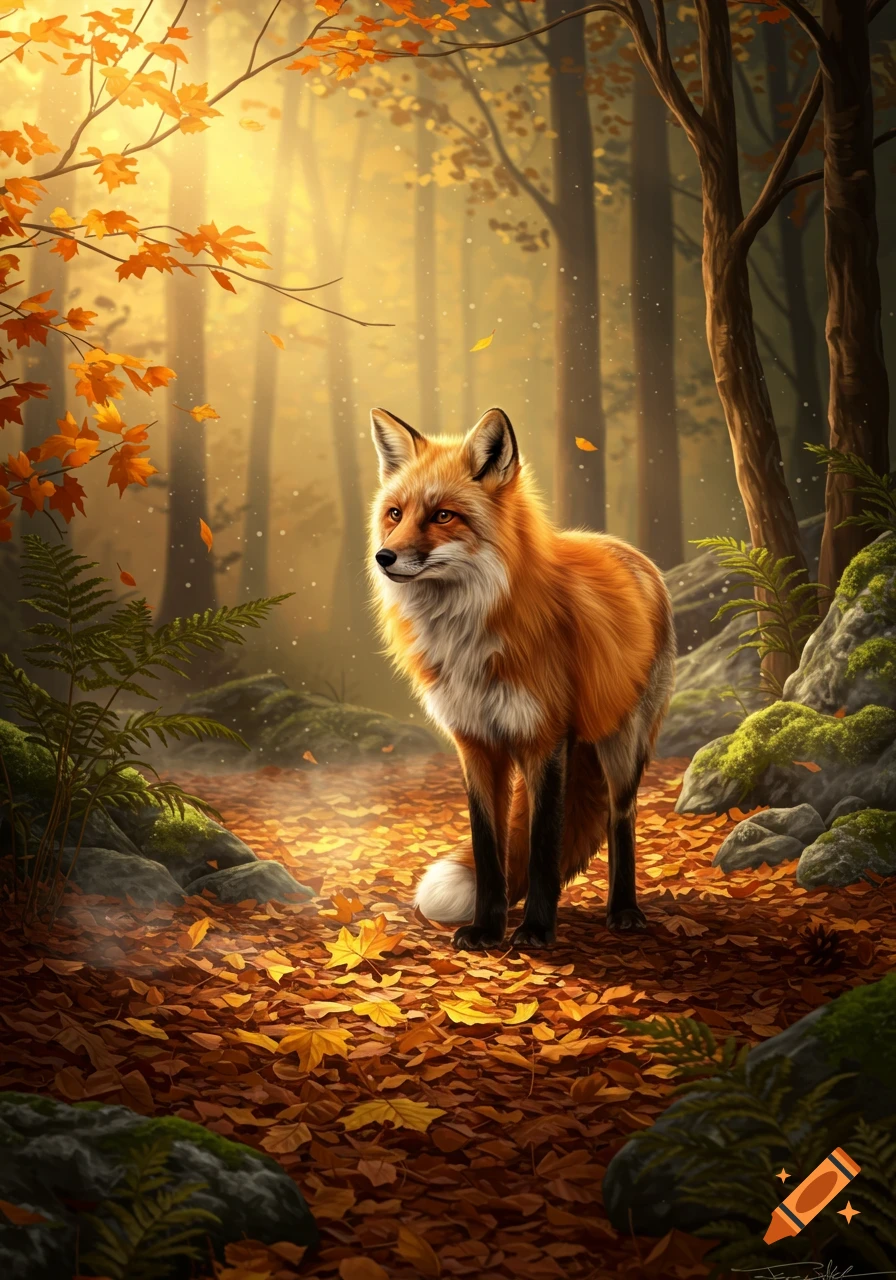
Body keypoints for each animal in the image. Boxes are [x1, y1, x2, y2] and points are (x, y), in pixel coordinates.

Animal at [368, 405, 675, 952]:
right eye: (395, 514)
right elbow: (489, 851)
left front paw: (534, 930)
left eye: (443, 515)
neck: (469, 639)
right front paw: (486, 930)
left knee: (622, 820)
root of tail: (629, 550)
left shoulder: (544, 739)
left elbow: (541, 848)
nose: (385, 558)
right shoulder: (475, 742)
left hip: (621, 744)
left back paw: (623, 910)